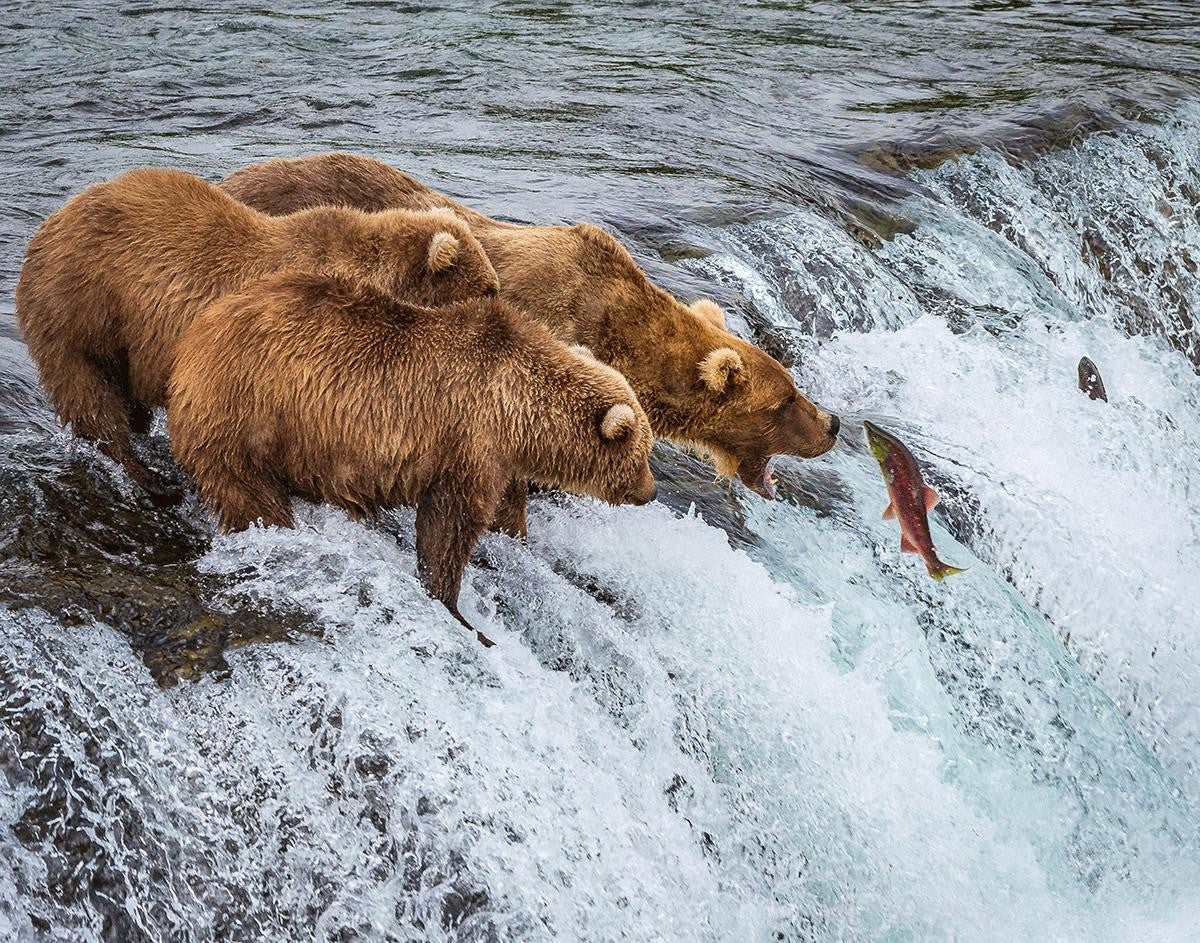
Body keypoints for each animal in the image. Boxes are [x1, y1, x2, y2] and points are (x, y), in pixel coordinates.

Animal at [16, 166, 500, 505]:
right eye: (488, 288)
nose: (502, 303)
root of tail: (49, 224)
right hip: (81, 308)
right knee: (90, 395)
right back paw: (150, 478)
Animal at [167, 270, 657, 646]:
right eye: (643, 454)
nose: (650, 492)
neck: (520, 411)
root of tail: (193, 338)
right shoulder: (469, 440)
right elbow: (449, 526)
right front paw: (459, 611)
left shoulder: (499, 459)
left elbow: (504, 511)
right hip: (247, 414)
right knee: (249, 493)